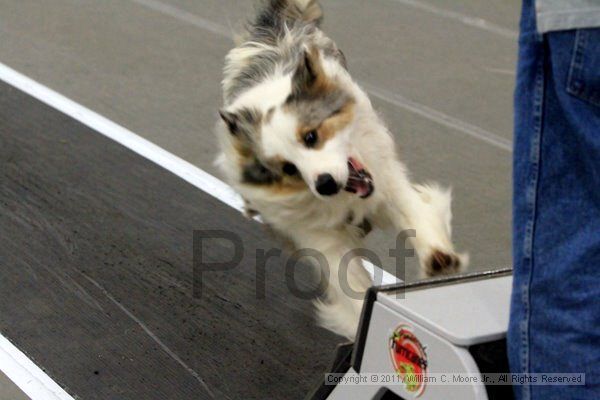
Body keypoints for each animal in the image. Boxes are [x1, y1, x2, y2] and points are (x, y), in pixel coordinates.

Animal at [216, 0, 468, 340]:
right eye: (289, 169)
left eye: (311, 137)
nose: (324, 184)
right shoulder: (316, 235)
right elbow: (347, 281)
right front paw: (363, 326)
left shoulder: (384, 175)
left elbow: (414, 212)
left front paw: (439, 259)